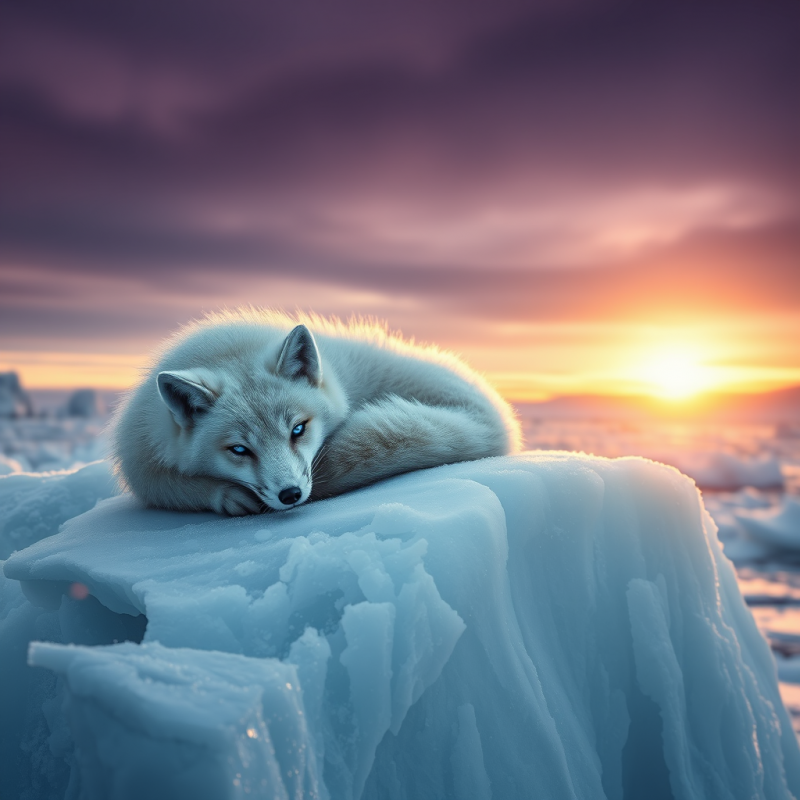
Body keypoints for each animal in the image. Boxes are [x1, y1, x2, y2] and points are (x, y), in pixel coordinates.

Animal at [110, 309, 521, 515]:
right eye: (239, 450)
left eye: (298, 429)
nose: (291, 494)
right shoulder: (141, 453)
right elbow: (167, 485)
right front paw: (228, 496)